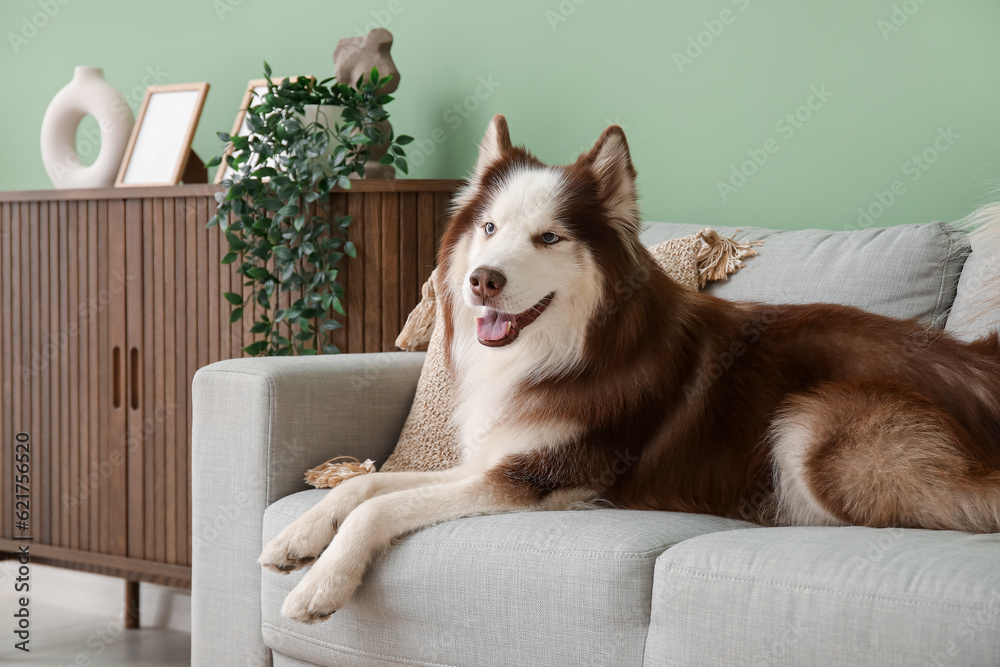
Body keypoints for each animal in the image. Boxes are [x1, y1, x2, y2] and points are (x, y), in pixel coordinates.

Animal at [262, 116, 1000, 628]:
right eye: (491, 228)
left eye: (549, 237)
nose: (481, 281)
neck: (568, 347)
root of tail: (976, 362)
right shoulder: (496, 457)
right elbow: (365, 487)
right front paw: (298, 536)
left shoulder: (539, 478)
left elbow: (382, 505)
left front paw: (320, 585)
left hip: (811, 425)